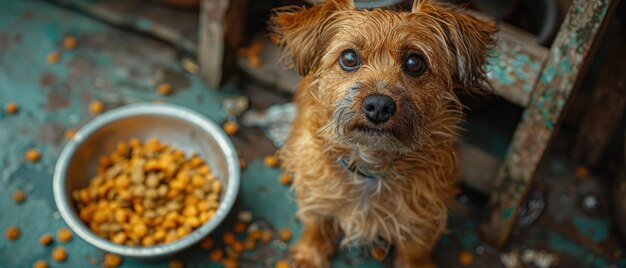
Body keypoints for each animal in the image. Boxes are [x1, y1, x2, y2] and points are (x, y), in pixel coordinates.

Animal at [270, 1, 494, 266]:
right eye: (349, 58)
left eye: (415, 62)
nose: (379, 105)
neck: (371, 166)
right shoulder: (315, 191)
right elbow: (316, 222)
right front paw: (309, 255)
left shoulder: (423, 219)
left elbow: (416, 251)